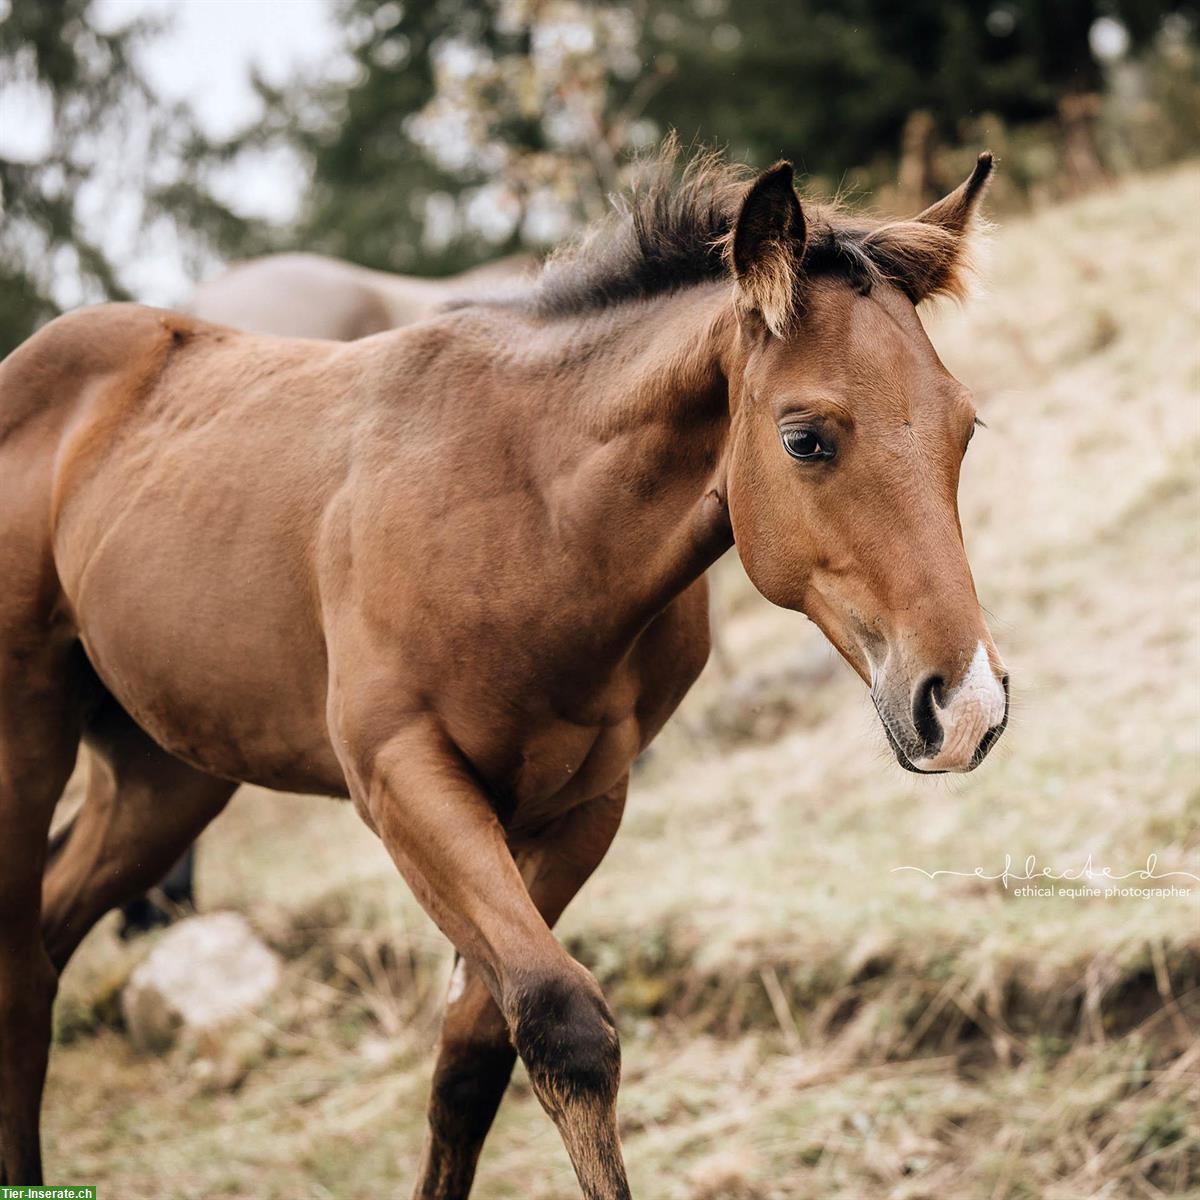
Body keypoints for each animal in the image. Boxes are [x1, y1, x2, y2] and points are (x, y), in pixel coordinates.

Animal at [0, 150, 1008, 1190]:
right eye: (805, 437)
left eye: (965, 430)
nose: (965, 705)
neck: (534, 521)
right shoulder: (403, 779)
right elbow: (563, 1025)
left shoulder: (581, 805)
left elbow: (474, 1051)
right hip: (25, 737)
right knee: (19, 972)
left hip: (165, 776)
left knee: (52, 936)